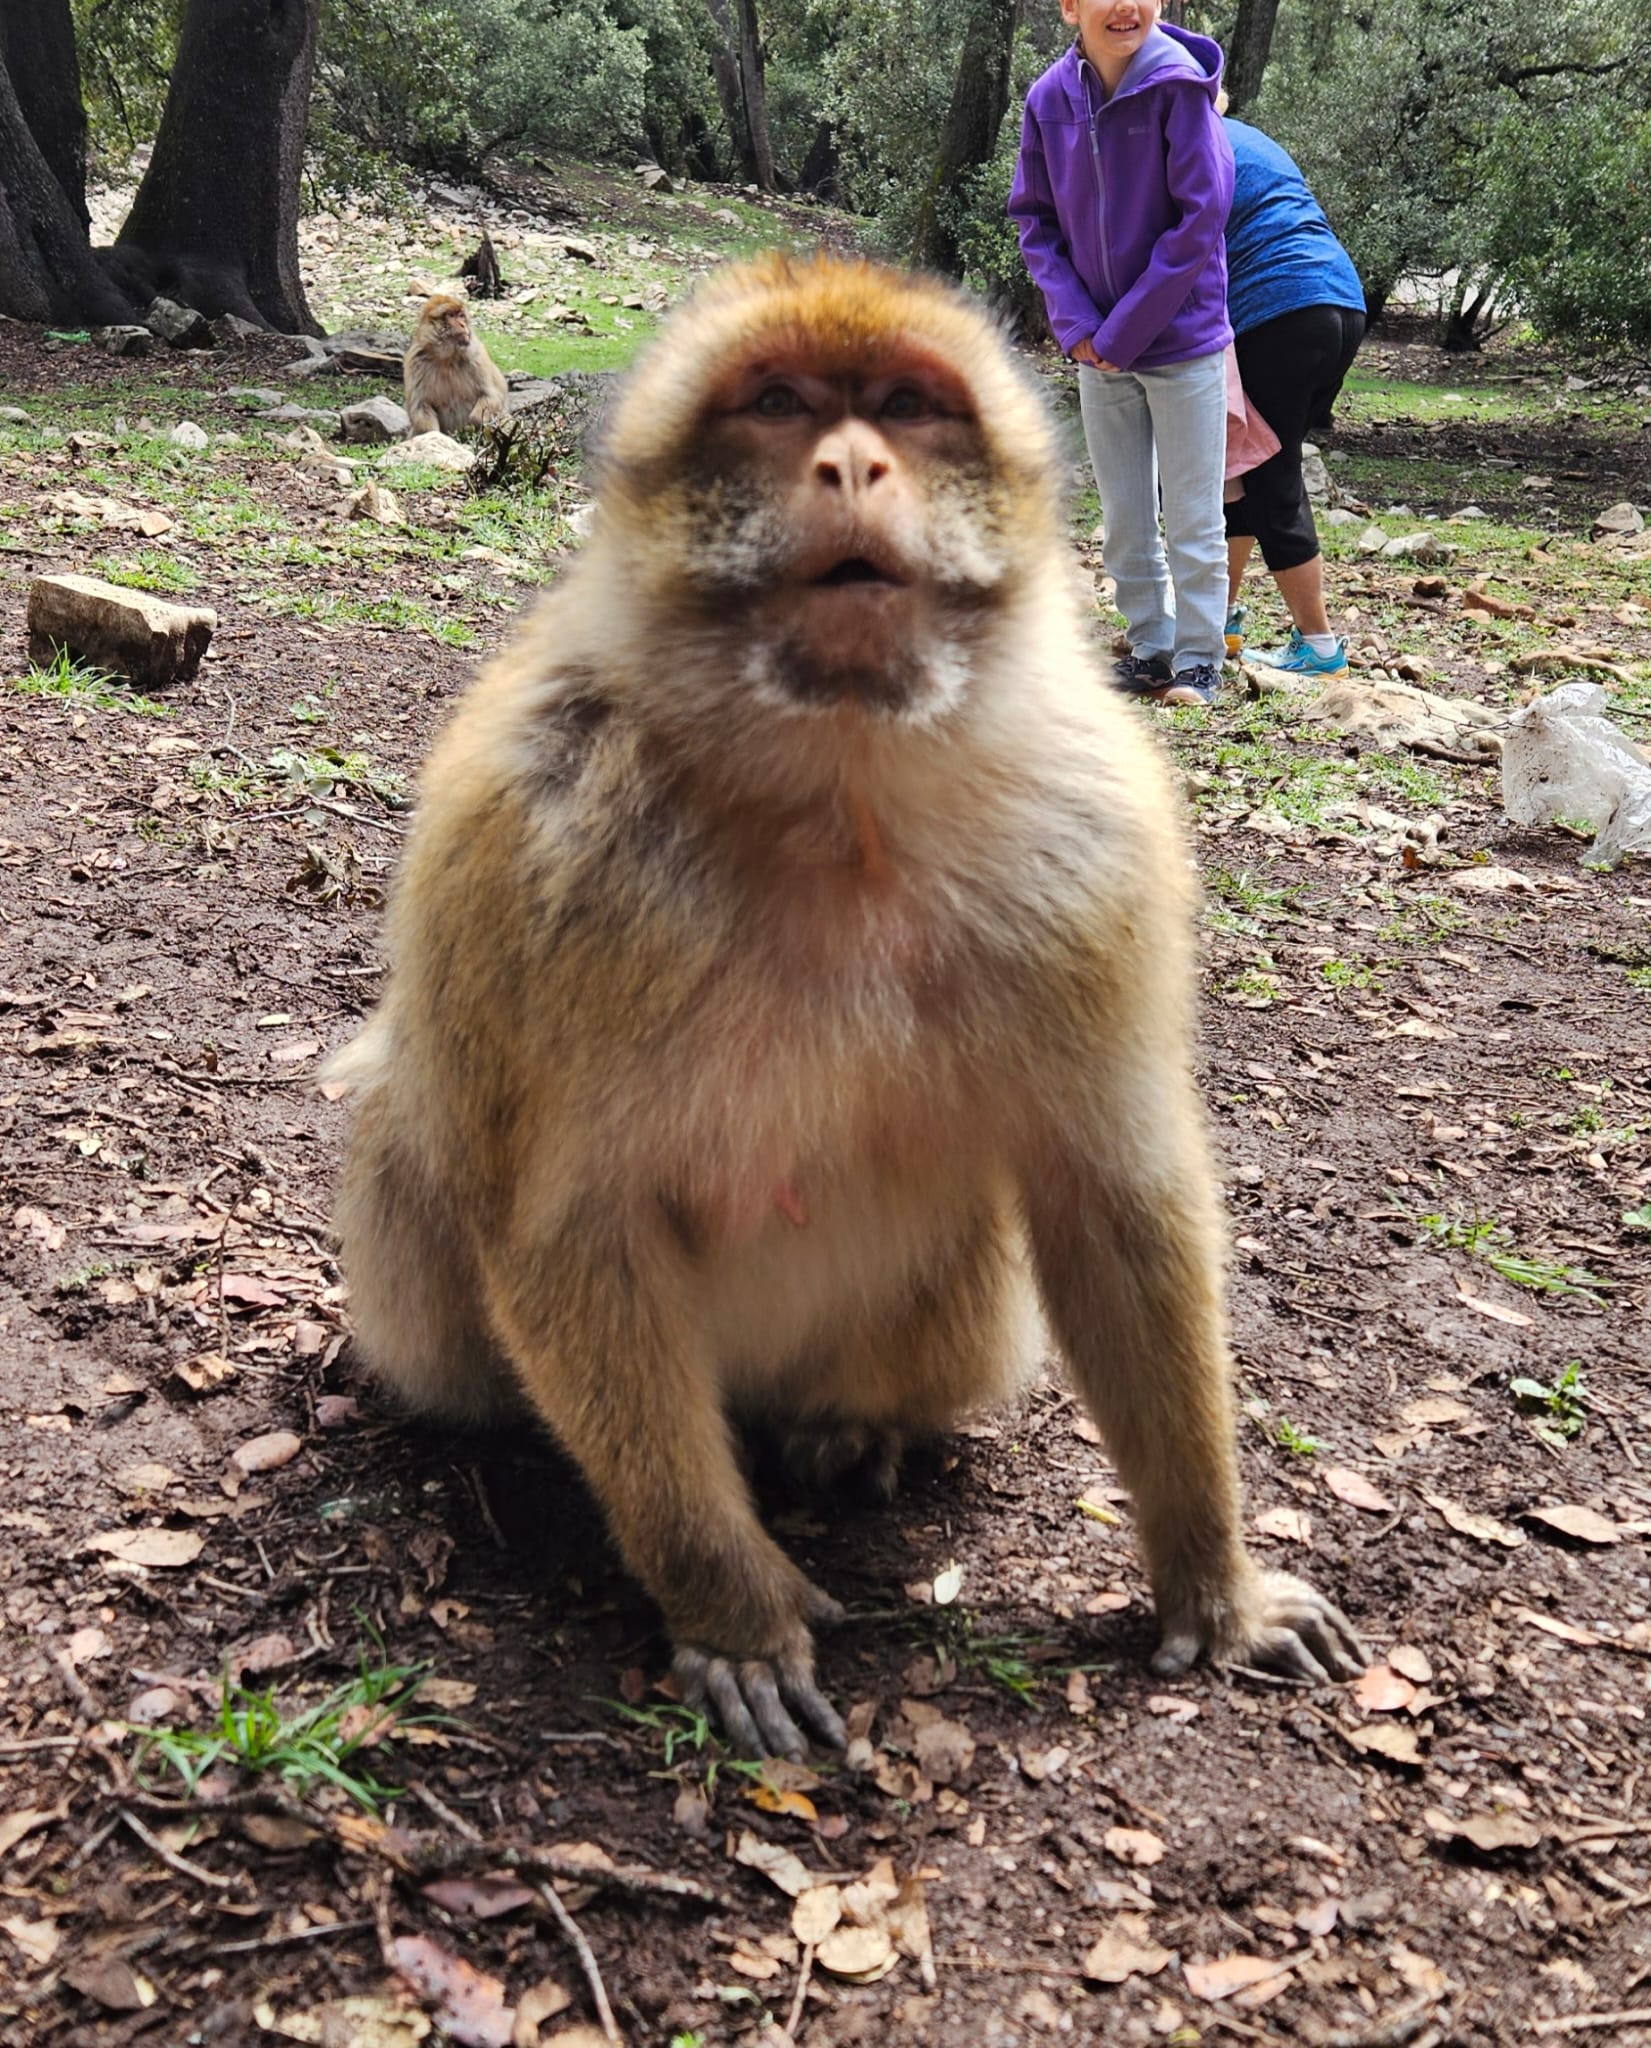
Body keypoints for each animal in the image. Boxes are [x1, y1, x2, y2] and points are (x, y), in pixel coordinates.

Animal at [402, 293, 510, 437]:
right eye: (451, 315)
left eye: (461, 315)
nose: (462, 324)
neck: (447, 358)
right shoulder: (415, 362)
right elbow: (420, 407)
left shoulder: (477, 357)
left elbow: (492, 396)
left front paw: (473, 424)